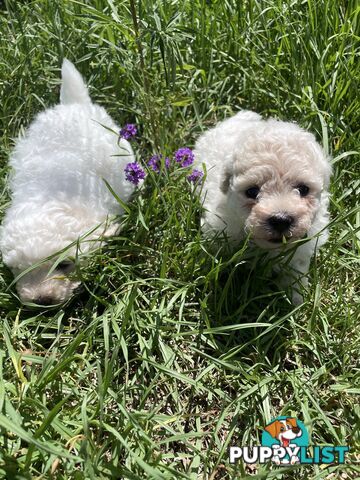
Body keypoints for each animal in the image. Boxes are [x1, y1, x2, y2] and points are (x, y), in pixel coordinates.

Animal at [195, 110, 334, 302]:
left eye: (303, 189)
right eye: (252, 191)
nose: (281, 220)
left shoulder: (301, 249)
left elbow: (296, 272)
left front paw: (297, 299)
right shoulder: (220, 231)